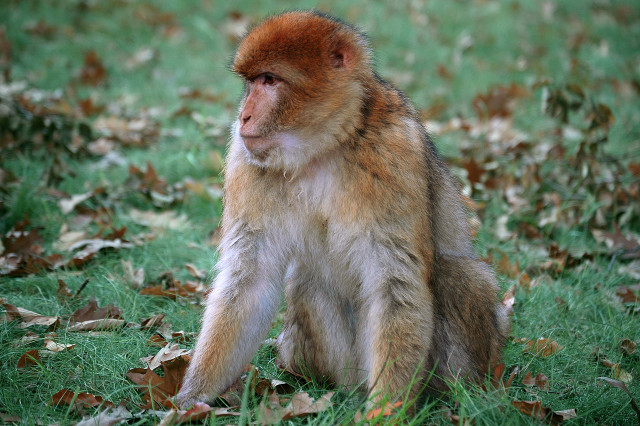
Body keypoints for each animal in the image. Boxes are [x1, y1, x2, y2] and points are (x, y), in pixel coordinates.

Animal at [176, 11, 509, 410]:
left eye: (269, 80)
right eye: (250, 82)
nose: (243, 116)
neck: (325, 146)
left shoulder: (394, 152)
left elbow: (395, 284)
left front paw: (384, 412)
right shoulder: (246, 160)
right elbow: (250, 279)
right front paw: (189, 401)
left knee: (460, 275)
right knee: (307, 282)